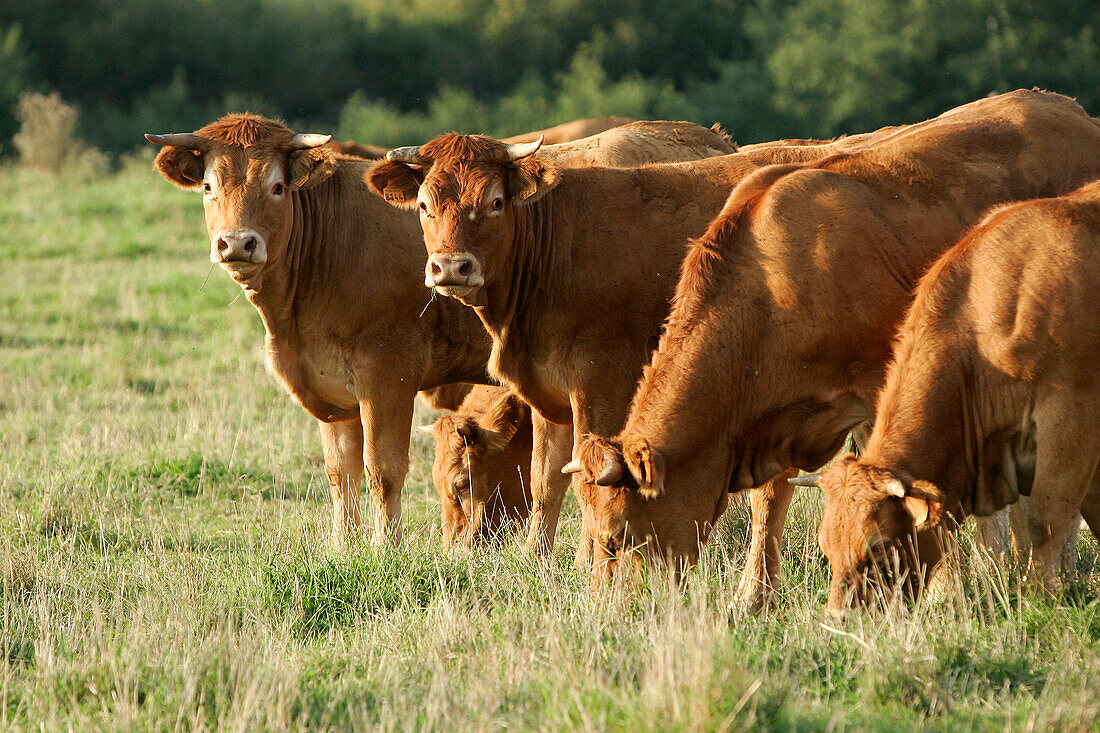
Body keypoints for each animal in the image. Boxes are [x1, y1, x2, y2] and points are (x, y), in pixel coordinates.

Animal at [809, 179, 1100, 607]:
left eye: (878, 546)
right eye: (827, 547)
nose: (839, 617)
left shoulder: (1071, 419)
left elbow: (1046, 522)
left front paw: (1039, 598)